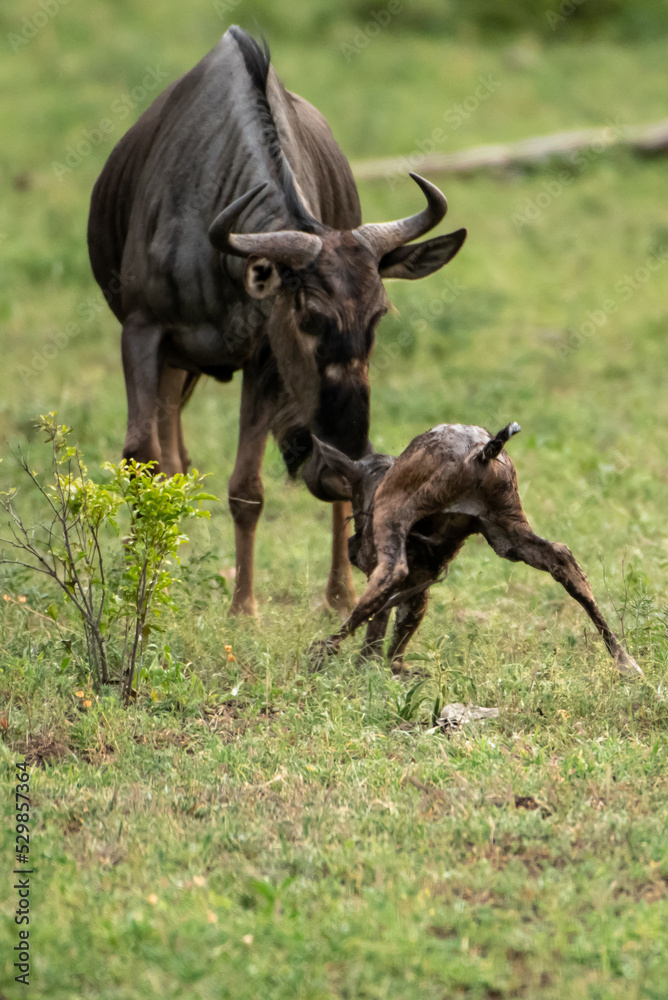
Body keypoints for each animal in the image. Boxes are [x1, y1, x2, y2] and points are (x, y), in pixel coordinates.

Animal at [87, 26, 467, 616]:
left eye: (378, 316)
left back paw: (339, 594)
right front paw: (140, 581)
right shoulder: (143, 332)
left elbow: (247, 488)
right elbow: (142, 461)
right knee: (173, 459)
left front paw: (243, 608)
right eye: (308, 314)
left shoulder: (262, 357)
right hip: (175, 361)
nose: (346, 443)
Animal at [308, 423, 643, 678]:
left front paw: (366, 665)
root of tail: (482, 453)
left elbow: (381, 615)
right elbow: (401, 620)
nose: (353, 548)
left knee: (392, 572)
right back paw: (624, 660)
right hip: (508, 532)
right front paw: (388, 667)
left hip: (397, 514)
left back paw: (324, 648)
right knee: (563, 560)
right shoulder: (422, 578)